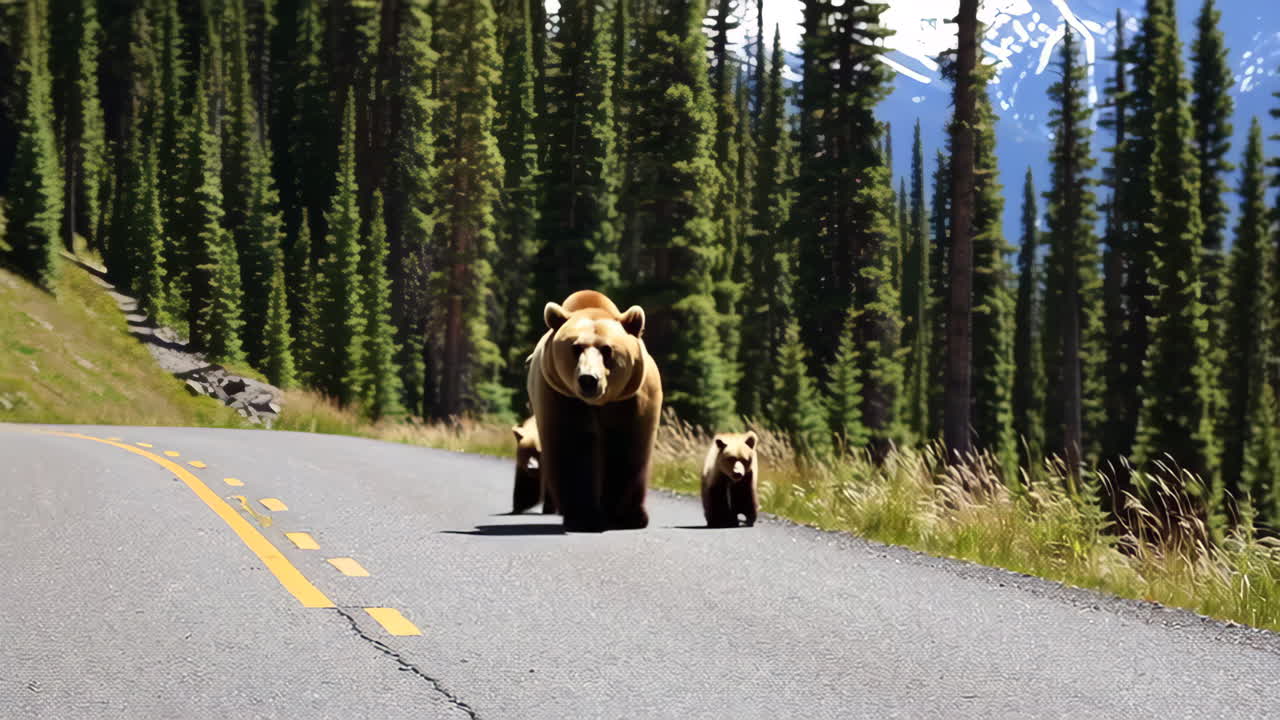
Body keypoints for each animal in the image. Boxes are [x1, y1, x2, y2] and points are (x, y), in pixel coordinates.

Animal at [526, 290, 663, 533]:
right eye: (575, 347)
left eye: (607, 349)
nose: (589, 379)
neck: (600, 403)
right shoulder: (562, 397)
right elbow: (574, 449)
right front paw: (584, 517)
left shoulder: (632, 399)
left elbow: (627, 448)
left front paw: (626, 515)